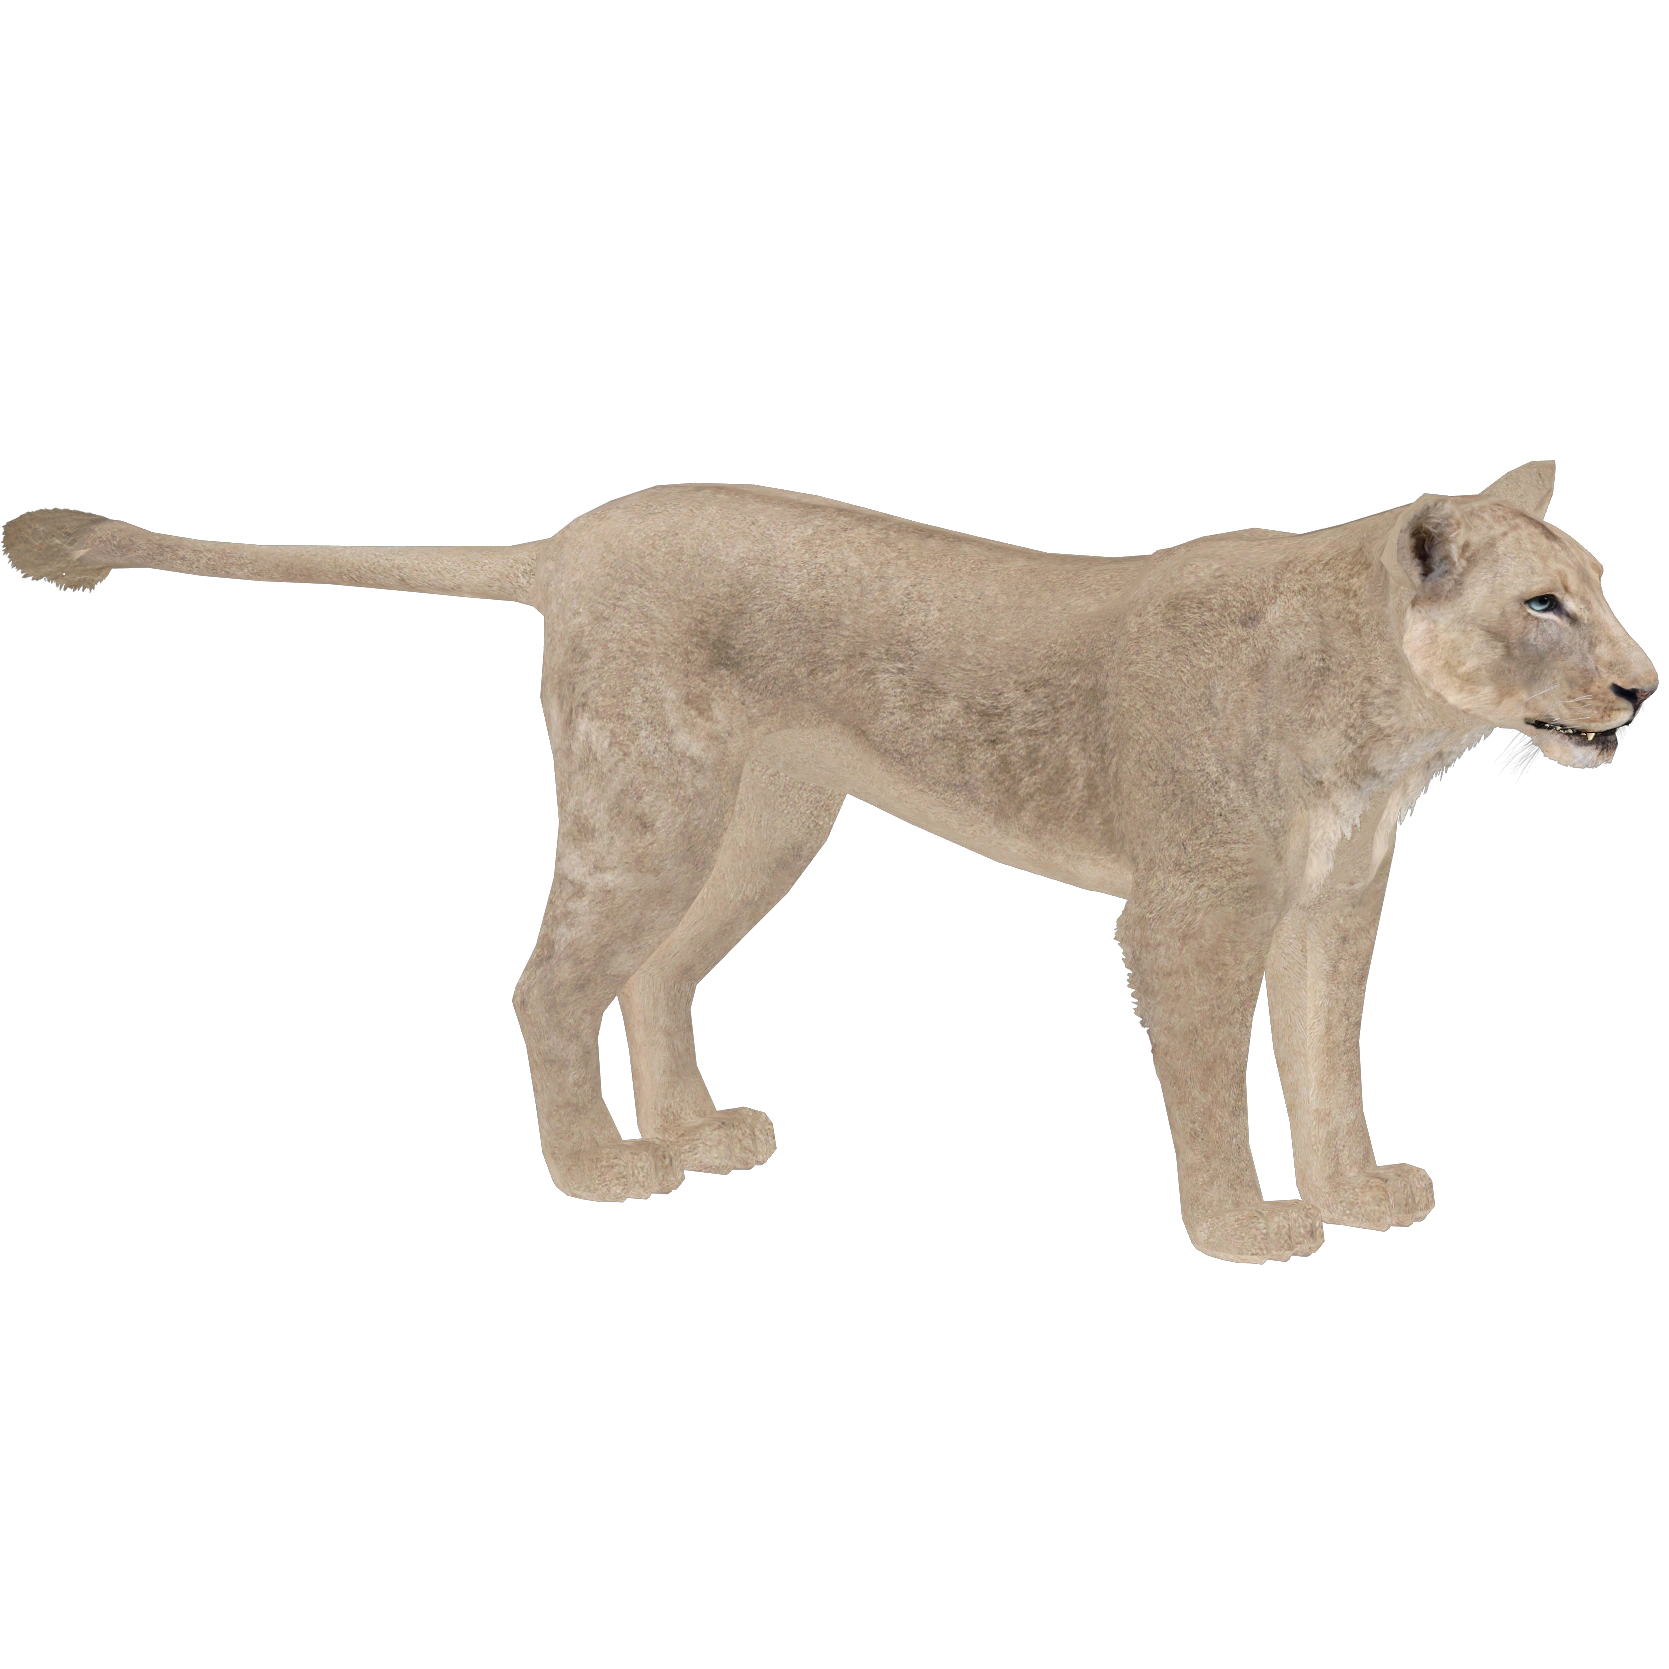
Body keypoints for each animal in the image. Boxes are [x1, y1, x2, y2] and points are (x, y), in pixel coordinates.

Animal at [5, 462, 1655, 1261]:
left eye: (1598, 587)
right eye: (1543, 606)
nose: (1641, 691)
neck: (1385, 730)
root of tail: (573, 537)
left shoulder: (1330, 908)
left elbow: (1323, 1064)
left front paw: (1358, 1189)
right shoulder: (1191, 913)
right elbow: (1211, 1080)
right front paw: (1243, 1227)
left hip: (757, 818)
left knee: (655, 972)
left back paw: (694, 1134)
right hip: (650, 797)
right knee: (551, 979)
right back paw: (600, 1164)